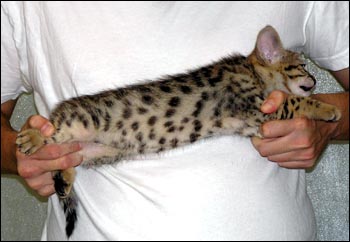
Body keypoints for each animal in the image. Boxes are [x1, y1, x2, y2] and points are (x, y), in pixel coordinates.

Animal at [16, 26, 342, 236]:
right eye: (302, 66)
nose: (316, 79)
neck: (253, 73)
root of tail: (59, 110)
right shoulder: (252, 105)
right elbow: (294, 101)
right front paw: (327, 108)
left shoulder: (253, 120)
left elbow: (289, 102)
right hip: (78, 122)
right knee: (53, 133)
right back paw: (31, 136)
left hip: (96, 152)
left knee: (65, 159)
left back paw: (64, 181)